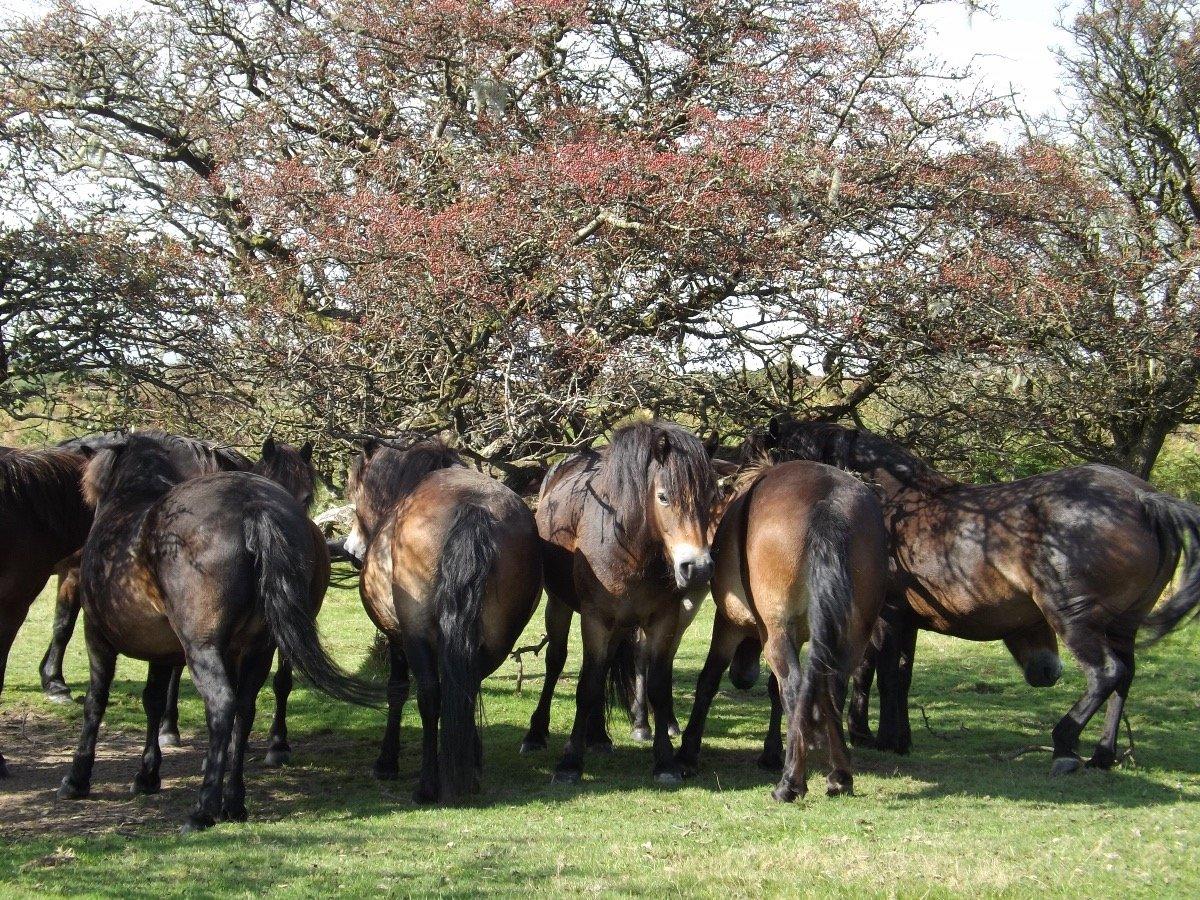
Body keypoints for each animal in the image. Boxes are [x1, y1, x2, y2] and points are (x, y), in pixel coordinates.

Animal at [58, 434, 376, 835]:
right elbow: (152, 701)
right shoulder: (164, 651)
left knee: (223, 707)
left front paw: (77, 779)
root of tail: (253, 506)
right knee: (244, 708)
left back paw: (203, 809)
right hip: (258, 649)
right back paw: (234, 802)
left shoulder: (97, 635)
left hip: (205, 649)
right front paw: (147, 774)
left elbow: (95, 702)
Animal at [343, 436, 540, 801]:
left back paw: (428, 784)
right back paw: (468, 769)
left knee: (430, 696)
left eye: (355, 495)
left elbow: (397, 690)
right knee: (466, 686)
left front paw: (386, 761)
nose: (351, 551)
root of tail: (472, 506)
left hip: (417, 635)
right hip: (497, 639)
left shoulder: (397, 639)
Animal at [518, 422, 720, 782]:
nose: (697, 568)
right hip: (560, 605)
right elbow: (586, 685)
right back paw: (536, 734)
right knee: (556, 662)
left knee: (603, 668)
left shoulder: (662, 621)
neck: (630, 548)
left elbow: (655, 686)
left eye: (711, 498)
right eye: (663, 496)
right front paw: (570, 763)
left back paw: (598, 735)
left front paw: (665, 762)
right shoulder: (595, 619)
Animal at [681, 460, 888, 801]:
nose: (742, 676)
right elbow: (774, 690)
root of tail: (828, 501)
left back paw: (791, 781)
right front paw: (772, 751)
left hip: (775, 632)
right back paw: (840, 775)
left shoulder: (728, 625)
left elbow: (708, 681)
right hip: (853, 635)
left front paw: (687, 750)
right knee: (832, 685)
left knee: (794, 685)